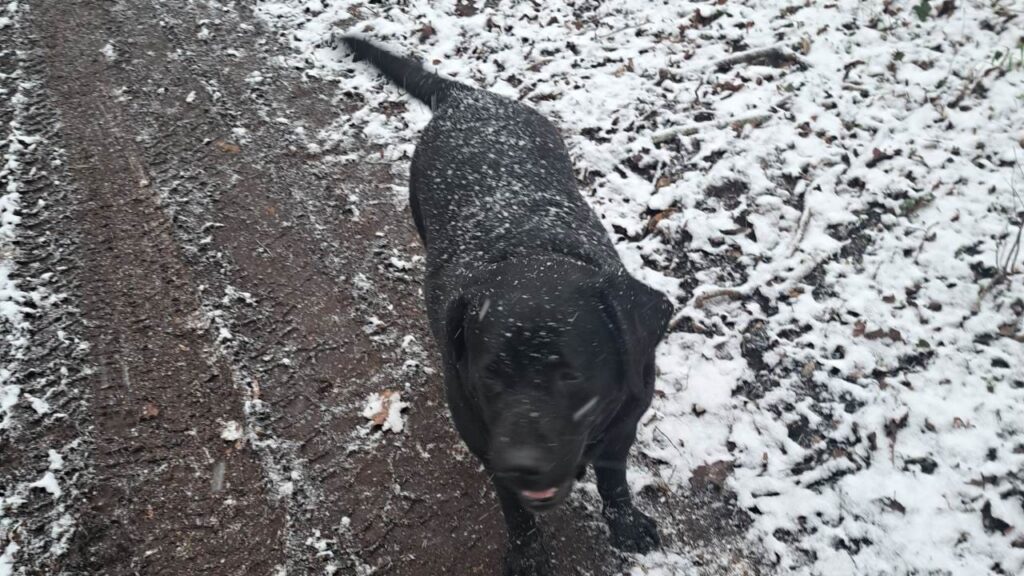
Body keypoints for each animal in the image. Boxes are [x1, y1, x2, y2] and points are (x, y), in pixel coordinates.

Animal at [342, 36, 671, 573]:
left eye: (572, 376)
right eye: (489, 376)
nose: (523, 464)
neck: (532, 250)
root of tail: (467, 97)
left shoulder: (626, 419)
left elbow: (613, 476)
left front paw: (624, 523)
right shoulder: (486, 444)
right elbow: (516, 512)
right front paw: (529, 556)